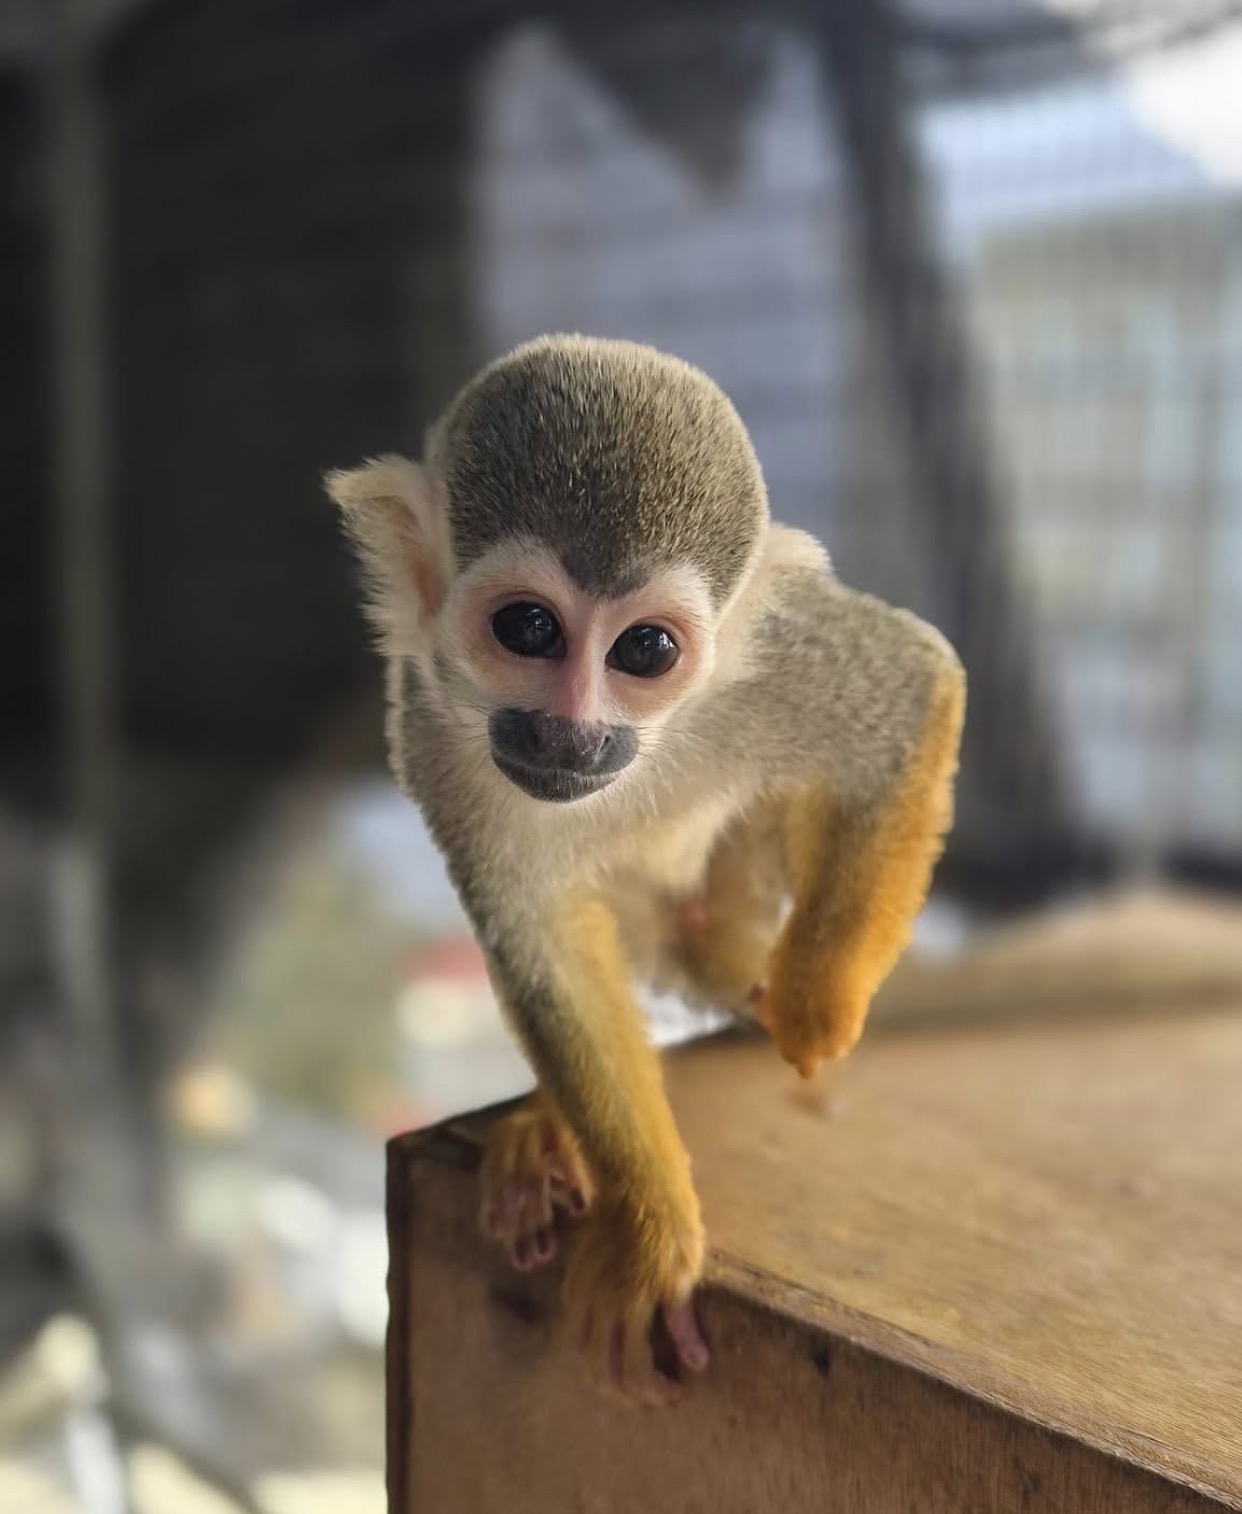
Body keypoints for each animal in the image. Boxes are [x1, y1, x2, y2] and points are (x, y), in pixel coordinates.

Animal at [326, 334, 965, 1406]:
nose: (571, 733)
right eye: (529, 629)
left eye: (647, 648)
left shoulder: (777, 660)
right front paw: (647, 1226)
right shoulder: (433, 726)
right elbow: (540, 942)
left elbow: (917, 684)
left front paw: (817, 1001)